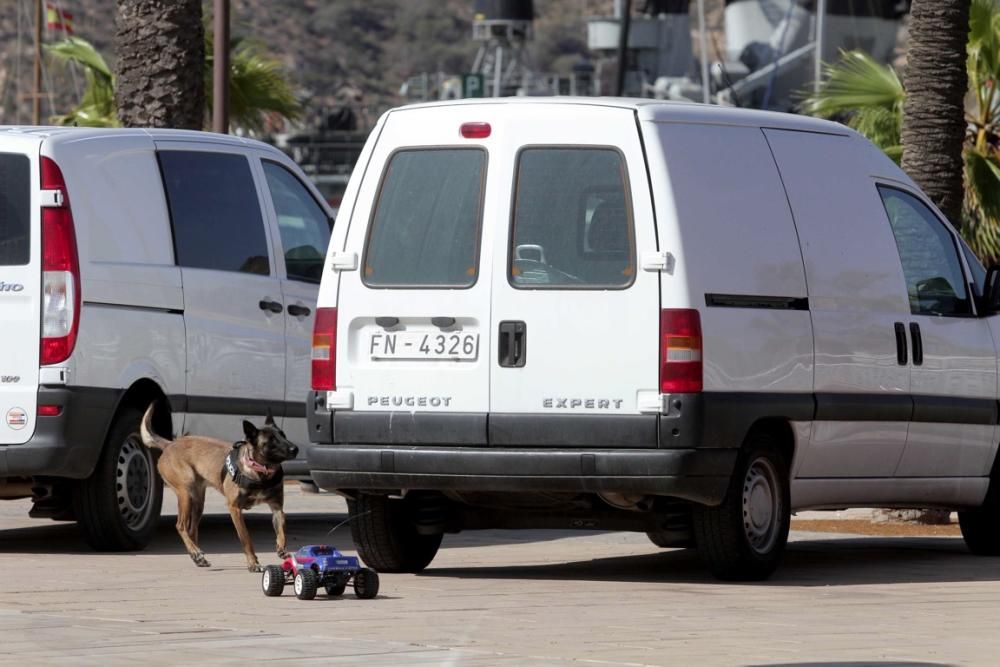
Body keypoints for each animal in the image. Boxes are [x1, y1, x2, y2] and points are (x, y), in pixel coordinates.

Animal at [139, 404, 298, 572]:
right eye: (271, 440)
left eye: (283, 435)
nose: (295, 449)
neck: (260, 471)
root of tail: (169, 444)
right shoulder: (235, 509)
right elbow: (246, 539)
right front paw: (253, 563)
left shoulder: (277, 508)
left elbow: (282, 531)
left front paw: (281, 548)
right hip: (185, 493)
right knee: (181, 526)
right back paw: (195, 552)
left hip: (198, 502)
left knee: (191, 530)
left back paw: (197, 556)